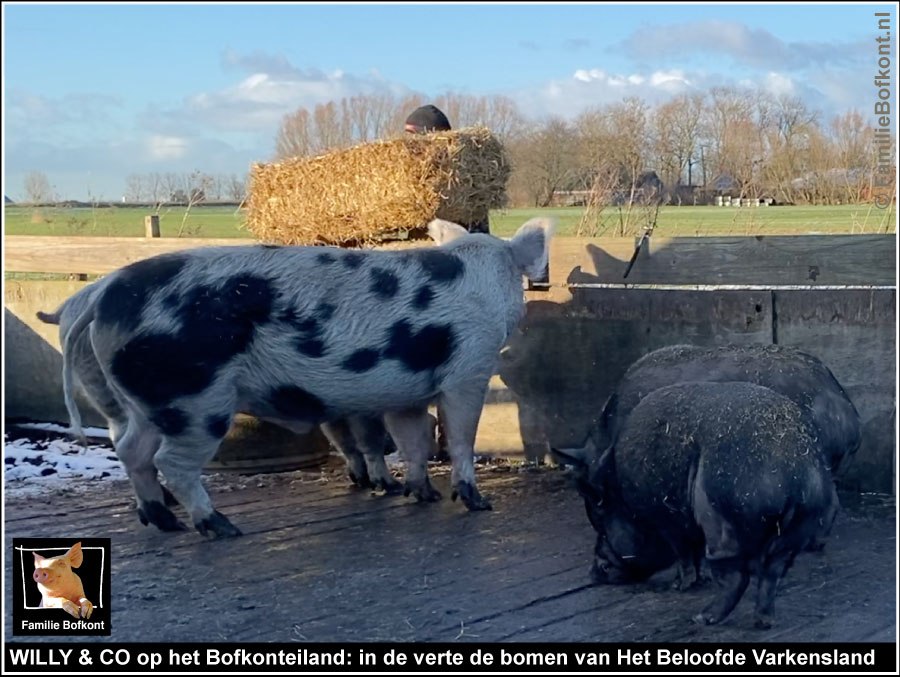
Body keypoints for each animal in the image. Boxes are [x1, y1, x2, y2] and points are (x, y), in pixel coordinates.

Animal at [59, 219, 552, 536]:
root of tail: (102, 297)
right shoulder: (469, 368)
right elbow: (461, 437)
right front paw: (478, 503)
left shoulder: (406, 390)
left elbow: (413, 441)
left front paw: (420, 494)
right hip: (195, 400)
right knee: (171, 463)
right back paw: (221, 528)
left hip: (145, 400)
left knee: (131, 450)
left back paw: (165, 523)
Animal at [568, 380, 832, 628]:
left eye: (603, 525)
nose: (593, 573)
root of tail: (793, 476)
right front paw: (696, 580)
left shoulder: (667, 520)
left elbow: (683, 552)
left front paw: (680, 586)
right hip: (797, 529)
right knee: (772, 573)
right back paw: (763, 622)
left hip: (720, 522)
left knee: (736, 576)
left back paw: (701, 618)